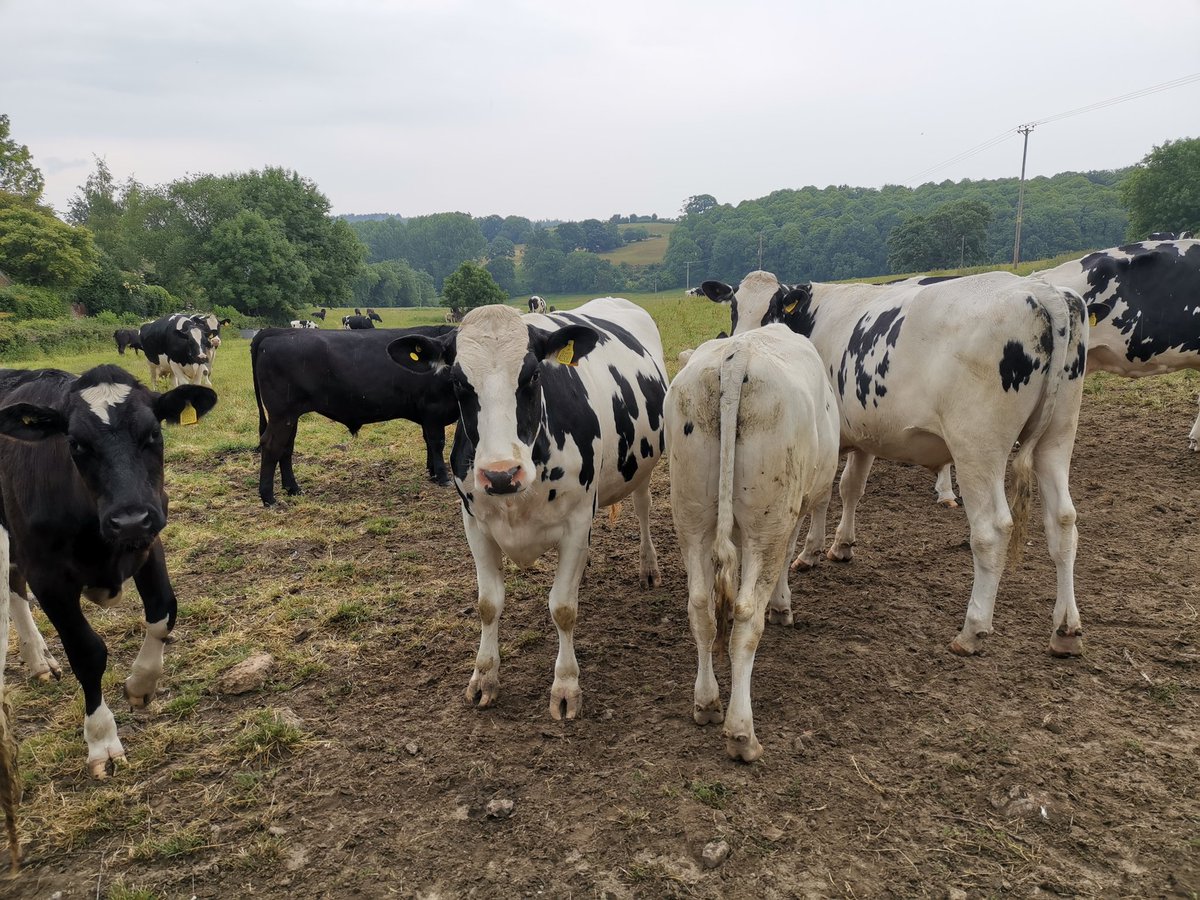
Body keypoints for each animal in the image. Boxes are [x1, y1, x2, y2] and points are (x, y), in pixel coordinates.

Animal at [0, 365, 216, 778]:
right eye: (75, 444)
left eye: (154, 433)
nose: (129, 519)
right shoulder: (48, 577)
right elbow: (87, 652)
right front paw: (101, 740)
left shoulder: (149, 539)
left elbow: (164, 611)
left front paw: (140, 685)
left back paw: (39, 661)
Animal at [251, 326, 459, 505]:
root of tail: (276, 331)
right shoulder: (433, 409)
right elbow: (437, 443)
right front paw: (442, 477)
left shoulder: (426, 415)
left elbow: (428, 442)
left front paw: (432, 472)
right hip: (281, 413)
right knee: (271, 445)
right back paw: (268, 498)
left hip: (290, 416)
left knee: (286, 447)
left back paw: (293, 488)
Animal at [386, 299, 668, 719]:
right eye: (457, 382)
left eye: (533, 375)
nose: (501, 474)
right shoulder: (475, 525)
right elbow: (488, 604)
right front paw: (484, 677)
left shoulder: (576, 523)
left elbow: (563, 607)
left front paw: (566, 686)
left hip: (644, 468)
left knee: (643, 508)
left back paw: (648, 567)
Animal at [666, 325, 839, 762]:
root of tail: (737, 354)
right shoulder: (793, 512)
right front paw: (782, 607)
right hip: (769, 520)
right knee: (746, 617)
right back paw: (741, 732)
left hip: (691, 516)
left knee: (701, 607)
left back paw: (707, 702)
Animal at [700, 269, 1088, 657]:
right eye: (734, 306)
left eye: (773, 308)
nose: (743, 338)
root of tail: (1037, 288)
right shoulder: (865, 434)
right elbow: (851, 488)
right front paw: (841, 546)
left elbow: (823, 497)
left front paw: (810, 552)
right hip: (1057, 436)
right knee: (1063, 520)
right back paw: (1065, 629)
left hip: (978, 446)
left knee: (991, 531)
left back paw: (972, 630)